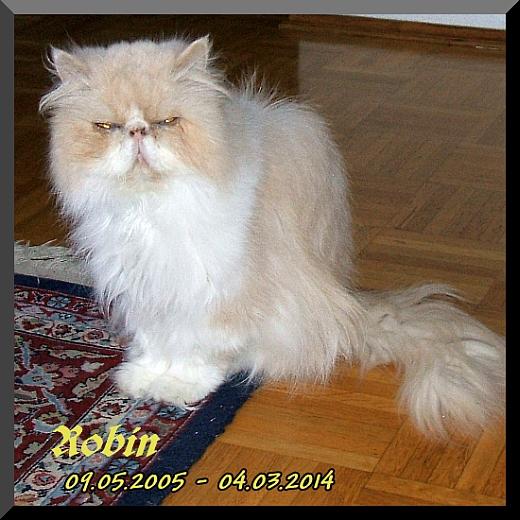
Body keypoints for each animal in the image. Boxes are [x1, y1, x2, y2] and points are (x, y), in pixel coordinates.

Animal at [40, 36, 505, 437]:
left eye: (167, 122)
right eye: (107, 126)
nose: (138, 132)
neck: (151, 210)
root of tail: (357, 310)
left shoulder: (216, 290)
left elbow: (199, 347)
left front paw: (180, 387)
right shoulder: (144, 287)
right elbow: (155, 340)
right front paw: (143, 377)